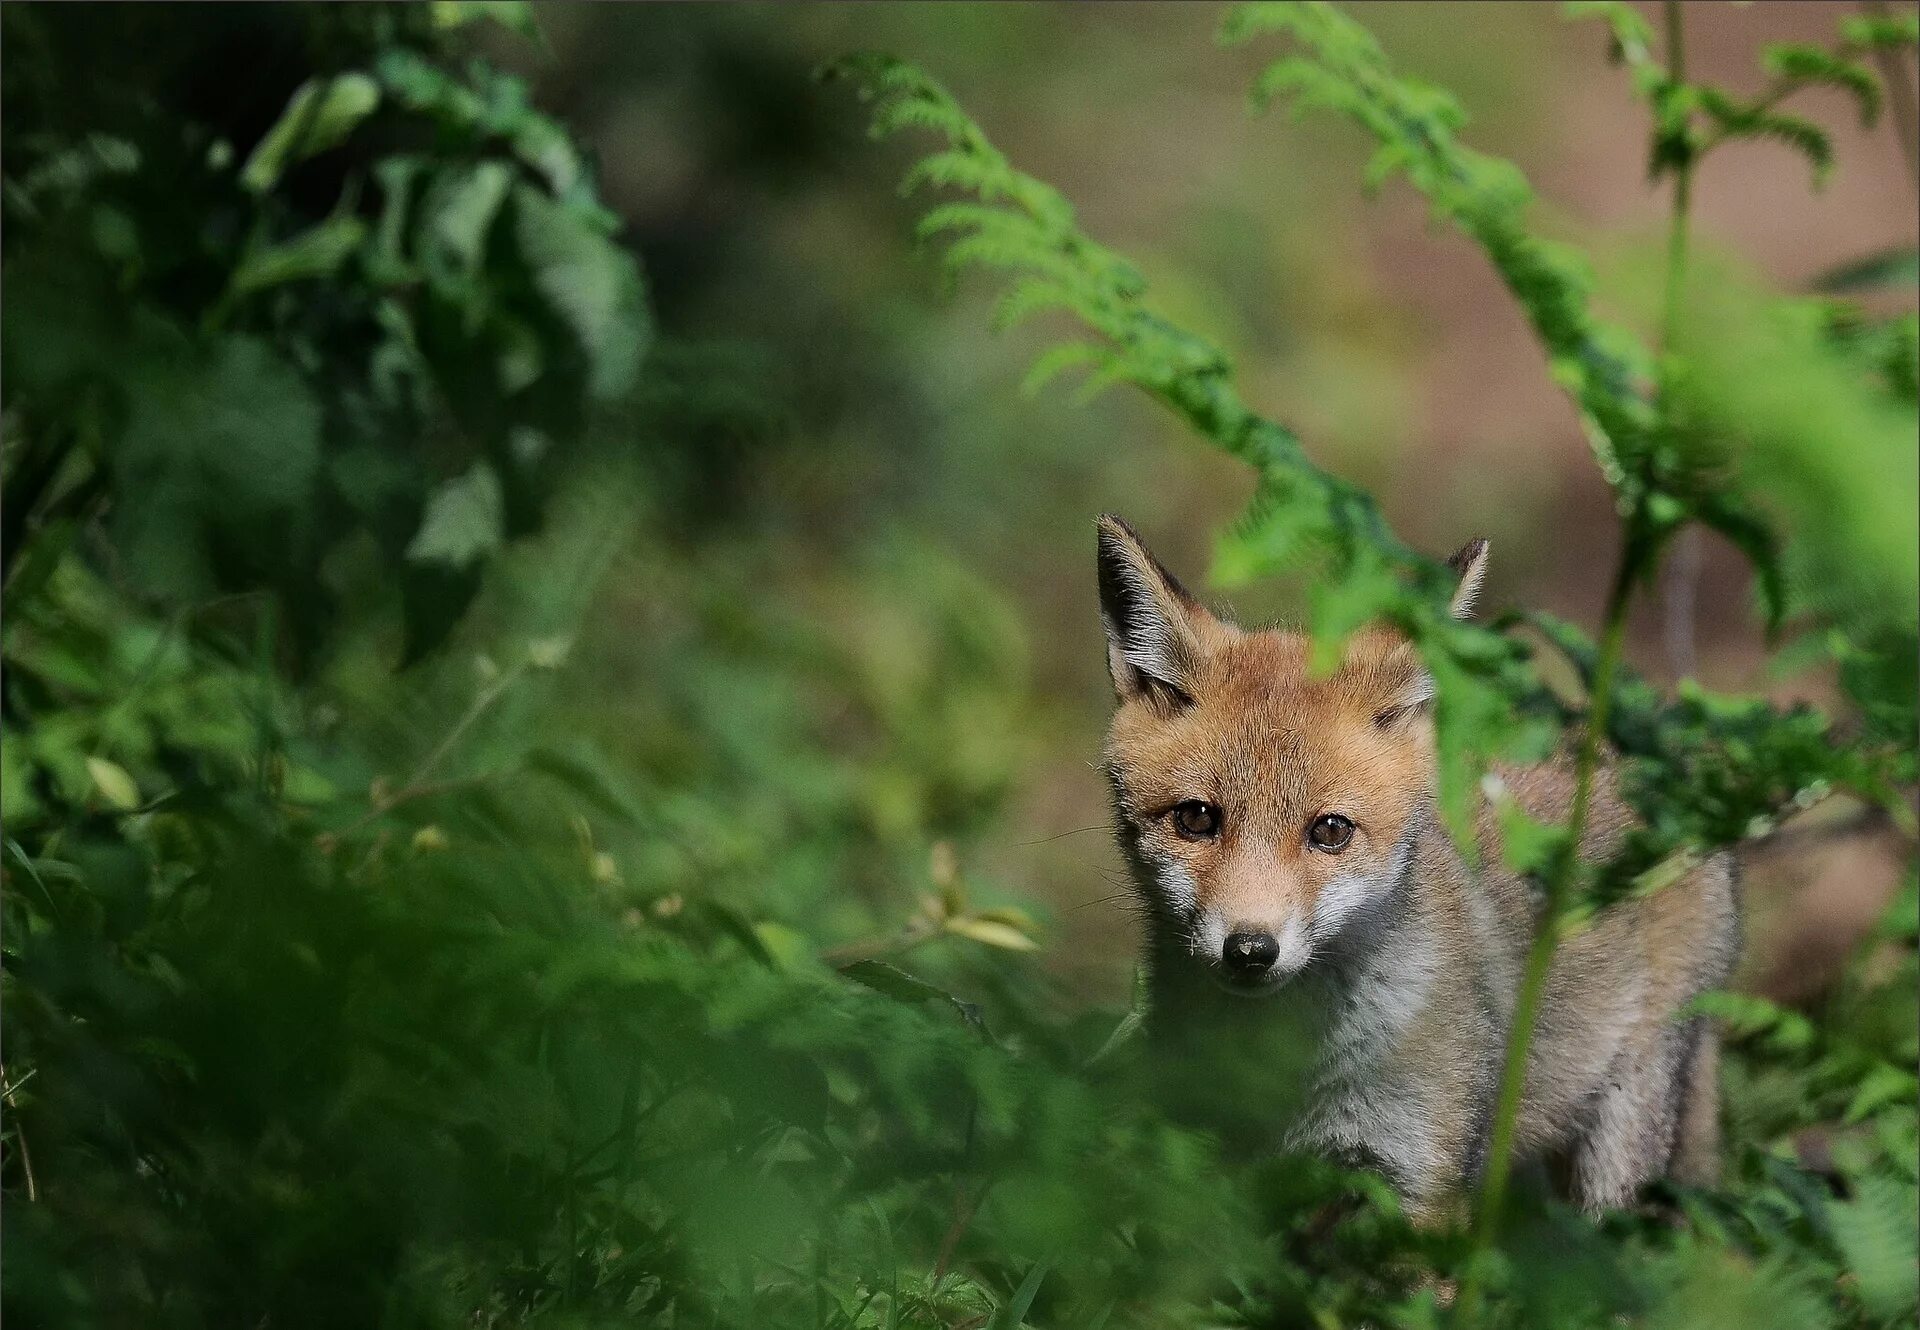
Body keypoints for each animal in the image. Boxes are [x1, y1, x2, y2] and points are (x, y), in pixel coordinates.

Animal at [1098, 514, 1743, 1220]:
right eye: (1196, 820)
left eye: (1330, 831)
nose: (1249, 950)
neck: (1288, 1067)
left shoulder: (1420, 1181)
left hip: (1618, 1149)